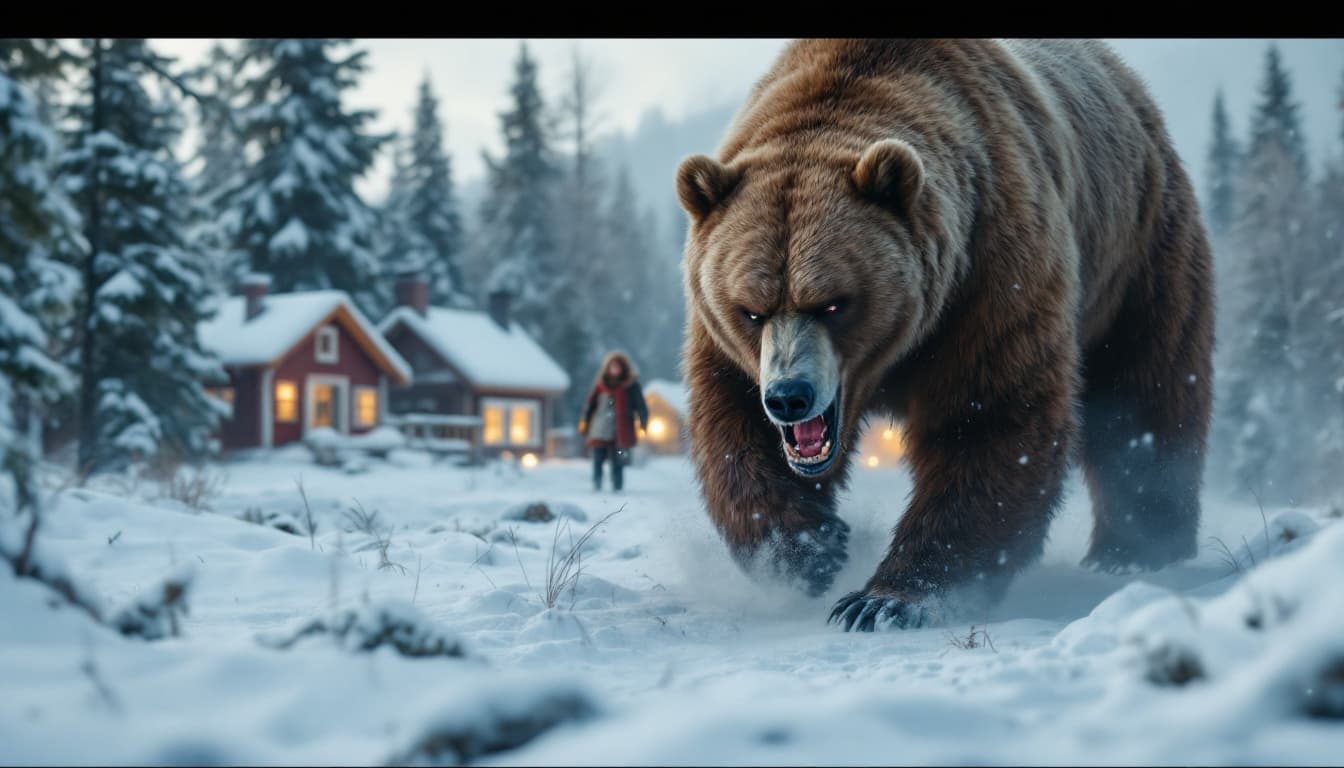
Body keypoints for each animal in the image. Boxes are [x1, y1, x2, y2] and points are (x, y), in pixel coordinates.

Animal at [675, 39, 1215, 631]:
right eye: (751, 309)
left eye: (834, 303)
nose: (790, 397)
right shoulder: (729, 345)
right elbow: (736, 428)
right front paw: (810, 549)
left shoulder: (986, 278)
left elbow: (987, 421)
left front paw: (884, 600)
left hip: (1135, 254)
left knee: (1145, 395)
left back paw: (1138, 550)